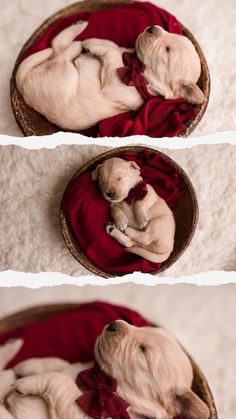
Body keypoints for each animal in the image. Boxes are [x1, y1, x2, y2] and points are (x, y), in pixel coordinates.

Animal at [0, 324, 209, 418]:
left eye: (143, 351)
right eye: (141, 326)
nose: (113, 324)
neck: (99, 379)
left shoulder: (82, 413)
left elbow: (61, 381)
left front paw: (26, 382)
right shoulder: (78, 367)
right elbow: (62, 364)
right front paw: (28, 367)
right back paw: (14, 349)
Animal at [16, 19, 205, 130]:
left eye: (167, 51)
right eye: (169, 31)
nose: (152, 28)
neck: (134, 64)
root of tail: (24, 89)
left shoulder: (116, 84)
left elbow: (112, 54)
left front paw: (92, 45)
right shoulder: (122, 51)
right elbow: (112, 45)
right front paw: (96, 41)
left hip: (65, 77)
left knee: (59, 53)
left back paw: (77, 43)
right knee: (56, 47)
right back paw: (78, 28)